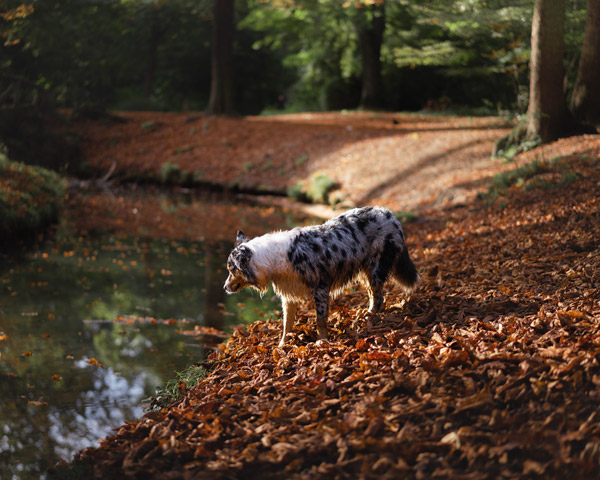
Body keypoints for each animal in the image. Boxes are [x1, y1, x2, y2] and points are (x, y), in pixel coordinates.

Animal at [224, 205, 418, 344]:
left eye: (232, 269)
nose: (224, 287)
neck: (274, 258)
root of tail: (390, 214)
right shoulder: (289, 296)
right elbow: (287, 325)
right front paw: (282, 346)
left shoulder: (321, 290)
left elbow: (320, 321)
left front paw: (321, 342)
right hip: (365, 272)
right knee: (375, 296)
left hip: (374, 268)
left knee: (378, 298)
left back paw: (370, 318)